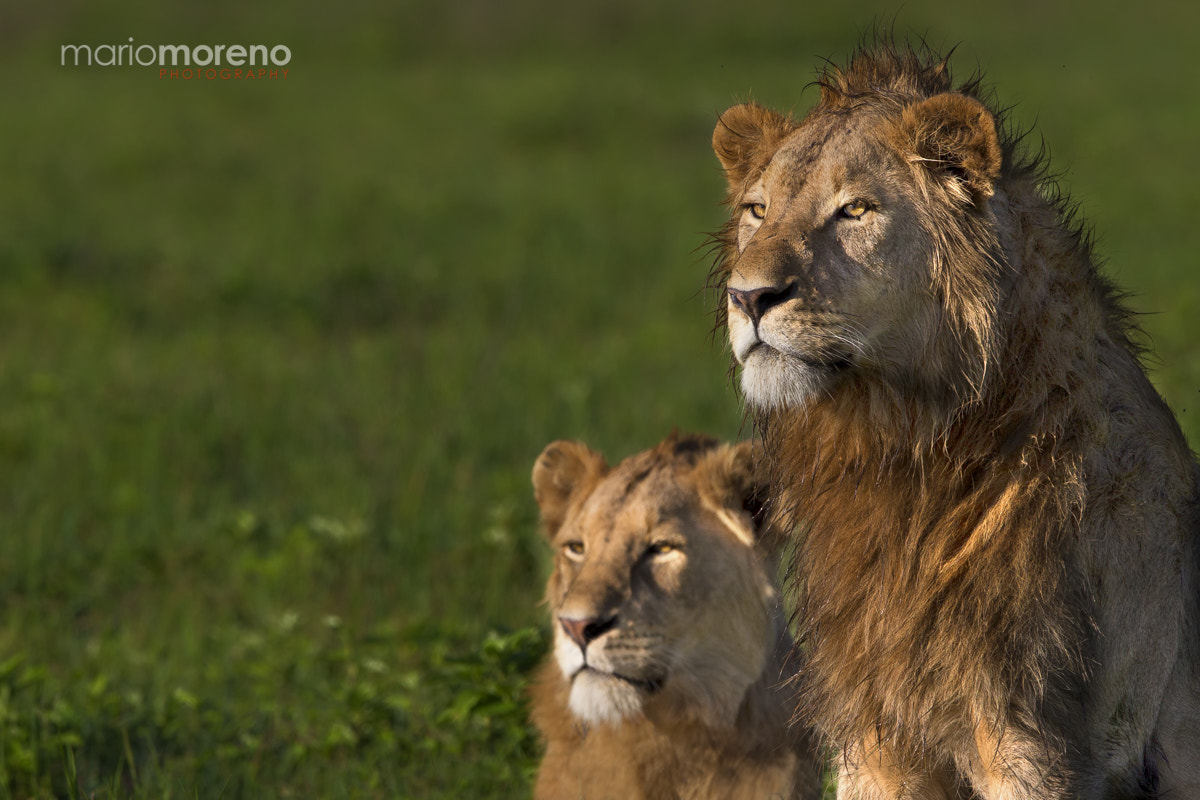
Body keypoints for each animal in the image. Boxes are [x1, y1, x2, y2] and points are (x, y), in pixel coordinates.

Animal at [710, 45, 1200, 800]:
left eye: (855, 210)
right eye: (756, 210)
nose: (748, 296)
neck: (897, 447)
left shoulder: (1031, 730)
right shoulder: (870, 727)